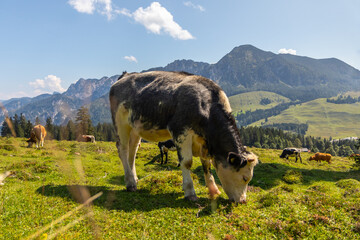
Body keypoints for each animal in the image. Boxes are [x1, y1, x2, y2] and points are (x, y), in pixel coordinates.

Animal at [109, 71, 258, 202]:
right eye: (245, 178)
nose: (243, 201)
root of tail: (125, 76)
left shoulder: (203, 141)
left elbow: (206, 164)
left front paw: (213, 190)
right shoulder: (180, 131)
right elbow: (186, 162)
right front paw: (190, 192)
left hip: (135, 128)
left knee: (132, 151)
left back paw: (134, 178)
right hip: (120, 123)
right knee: (123, 149)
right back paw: (130, 183)